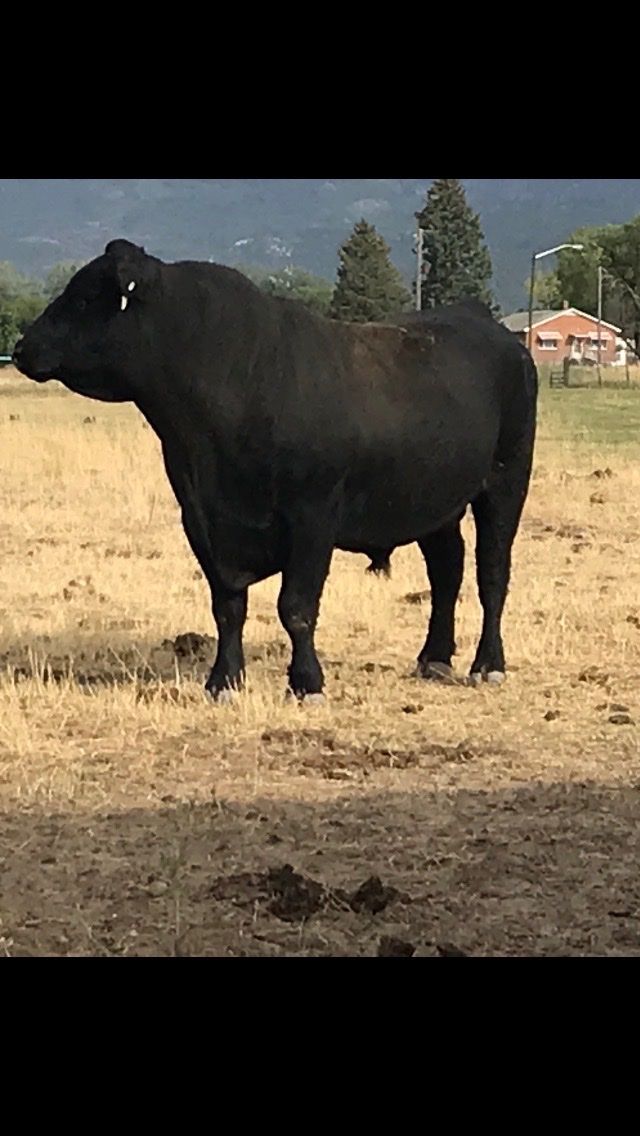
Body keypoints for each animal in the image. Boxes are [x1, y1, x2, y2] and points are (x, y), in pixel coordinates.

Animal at [12, 240, 538, 702]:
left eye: (84, 297)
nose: (20, 349)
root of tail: (479, 319)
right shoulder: (201, 521)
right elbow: (227, 606)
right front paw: (223, 681)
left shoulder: (313, 517)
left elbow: (296, 607)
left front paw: (307, 683)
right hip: (433, 500)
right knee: (447, 570)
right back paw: (434, 657)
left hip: (506, 480)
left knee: (492, 573)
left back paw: (488, 664)